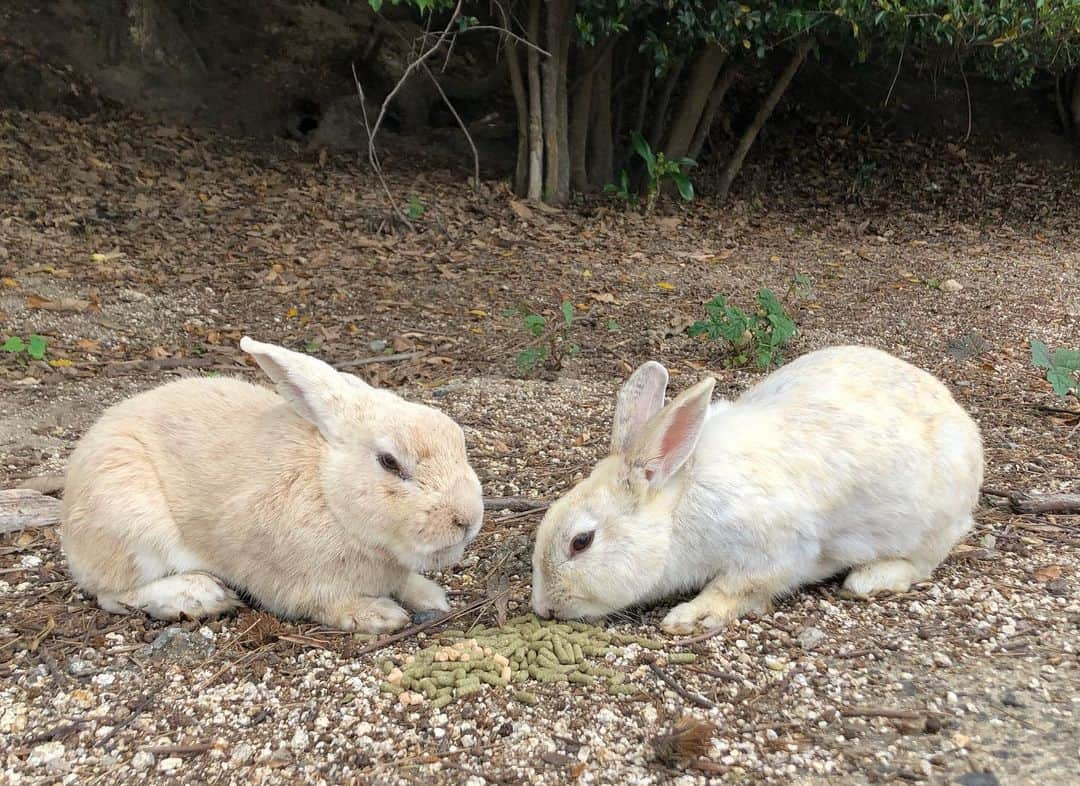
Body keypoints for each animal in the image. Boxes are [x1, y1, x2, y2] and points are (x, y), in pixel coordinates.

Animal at [58, 336, 481, 630]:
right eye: (389, 463)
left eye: (456, 437)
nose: (468, 520)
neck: (329, 491)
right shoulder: (293, 582)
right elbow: (324, 603)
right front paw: (378, 615)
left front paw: (432, 598)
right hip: (129, 518)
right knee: (112, 593)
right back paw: (198, 596)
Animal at [527, 347, 984, 634]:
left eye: (581, 542)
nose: (543, 608)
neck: (676, 509)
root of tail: (963, 421)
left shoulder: (772, 553)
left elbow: (735, 589)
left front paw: (690, 618)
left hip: (930, 529)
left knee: (921, 562)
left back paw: (870, 578)